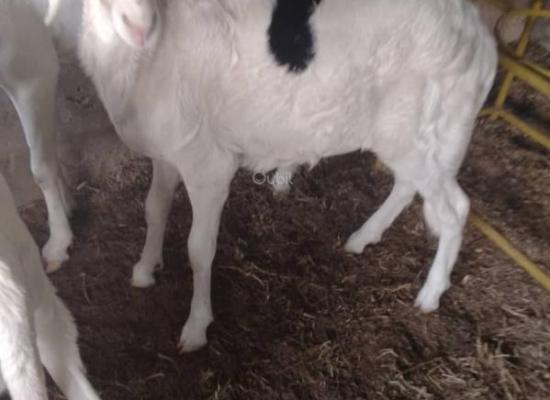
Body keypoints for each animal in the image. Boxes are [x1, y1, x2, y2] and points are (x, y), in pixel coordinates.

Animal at [78, 0, 498, 352]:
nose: (138, 24)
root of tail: (481, 35)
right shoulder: (167, 154)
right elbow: (155, 209)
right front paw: (145, 269)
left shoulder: (208, 166)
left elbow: (199, 250)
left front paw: (196, 328)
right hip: (408, 139)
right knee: (409, 187)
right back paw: (363, 238)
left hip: (425, 133)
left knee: (454, 208)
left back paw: (430, 294)